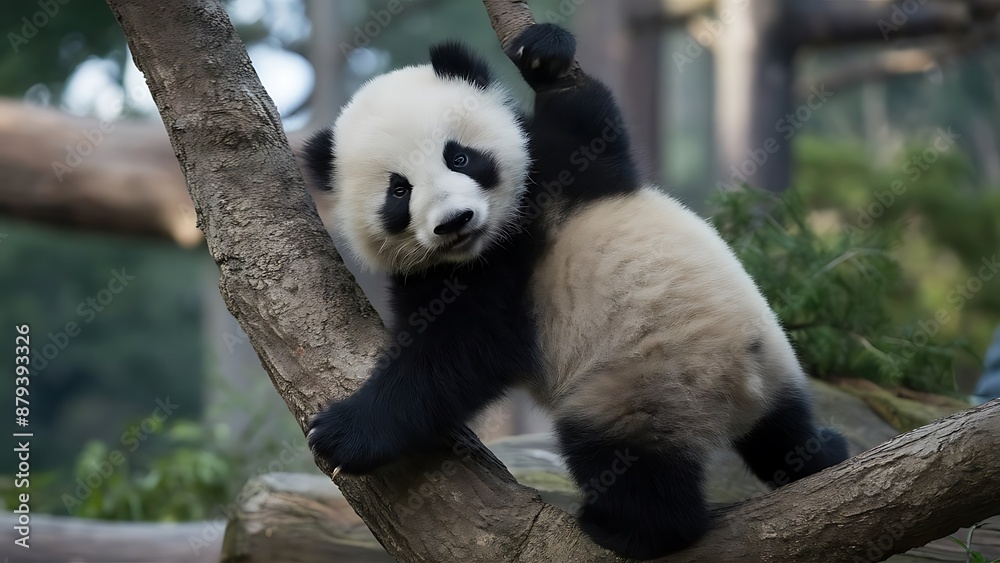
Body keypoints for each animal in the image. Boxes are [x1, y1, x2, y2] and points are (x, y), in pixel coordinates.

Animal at [303, 24, 848, 560]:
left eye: (458, 156)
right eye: (399, 190)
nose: (455, 221)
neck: (500, 231)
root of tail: (739, 385)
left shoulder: (540, 211)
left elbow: (457, 354)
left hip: (639, 387)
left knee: (630, 465)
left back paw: (625, 529)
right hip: (771, 359)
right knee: (782, 428)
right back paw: (820, 453)